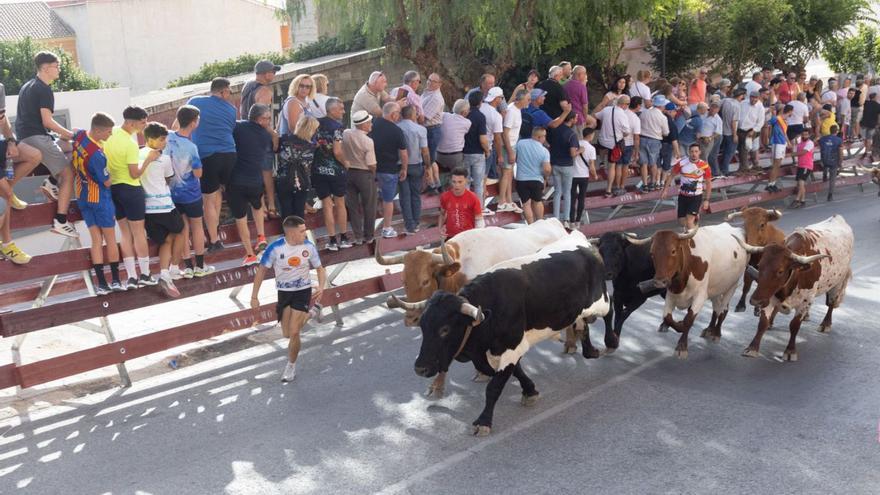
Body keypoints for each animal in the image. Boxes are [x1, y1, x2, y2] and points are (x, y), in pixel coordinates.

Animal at [628, 225, 744, 360]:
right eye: (652, 253)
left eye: (673, 251)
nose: (659, 282)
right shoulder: (671, 294)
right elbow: (668, 317)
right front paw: (679, 326)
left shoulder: (700, 296)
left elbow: (689, 319)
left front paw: (681, 346)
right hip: (715, 288)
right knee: (716, 309)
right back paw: (709, 329)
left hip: (732, 285)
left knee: (723, 310)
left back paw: (716, 333)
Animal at [736, 215, 852, 362]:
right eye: (759, 265)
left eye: (780, 271)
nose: (755, 301)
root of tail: (837, 217)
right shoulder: (770, 297)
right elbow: (762, 323)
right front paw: (752, 348)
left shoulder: (804, 302)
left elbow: (794, 325)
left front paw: (790, 351)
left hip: (838, 282)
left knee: (831, 303)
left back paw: (825, 324)